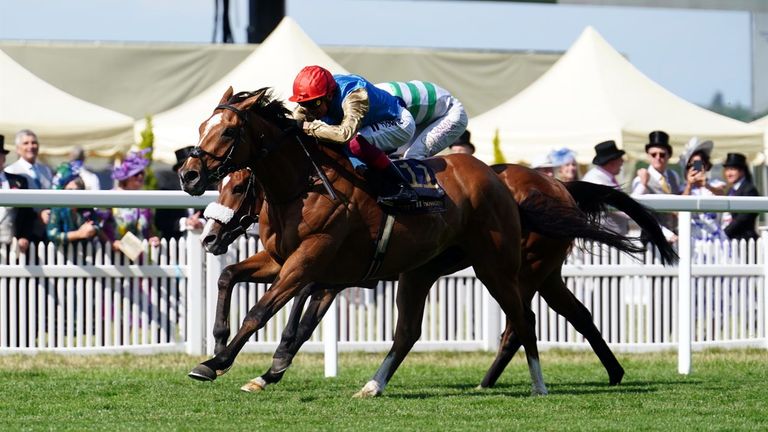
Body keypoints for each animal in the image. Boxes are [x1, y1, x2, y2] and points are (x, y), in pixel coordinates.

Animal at [180, 87, 548, 394]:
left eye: (228, 131)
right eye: (200, 127)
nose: (189, 175)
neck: (304, 184)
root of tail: (497, 178)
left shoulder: (308, 261)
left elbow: (261, 310)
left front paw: (215, 363)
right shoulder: (283, 260)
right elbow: (229, 276)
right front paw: (222, 344)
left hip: (494, 266)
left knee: (523, 319)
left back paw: (538, 384)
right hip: (421, 271)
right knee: (408, 331)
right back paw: (373, 385)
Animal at [201, 167, 676, 394]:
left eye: (239, 187)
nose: (209, 237)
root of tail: (558, 184)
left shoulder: (323, 271)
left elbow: (294, 317)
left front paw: (260, 363)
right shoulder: (322, 273)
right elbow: (239, 281)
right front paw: (248, 360)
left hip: (521, 268)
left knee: (521, 323)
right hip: (539, 272)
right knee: (572, 313)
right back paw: (609, 372)